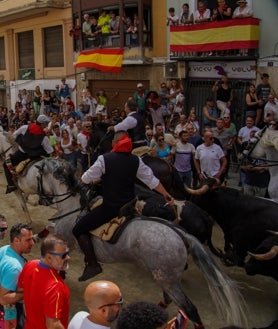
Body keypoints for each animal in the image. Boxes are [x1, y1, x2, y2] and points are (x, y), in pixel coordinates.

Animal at [33, 158, 248, 326]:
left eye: (38, 179)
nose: (42, 200)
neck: (73, 205)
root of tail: (180, 233)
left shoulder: (66, 237)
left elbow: (58, 254)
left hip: (167, 278)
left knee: (190, 309)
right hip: (167, 277)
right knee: (169, 300)